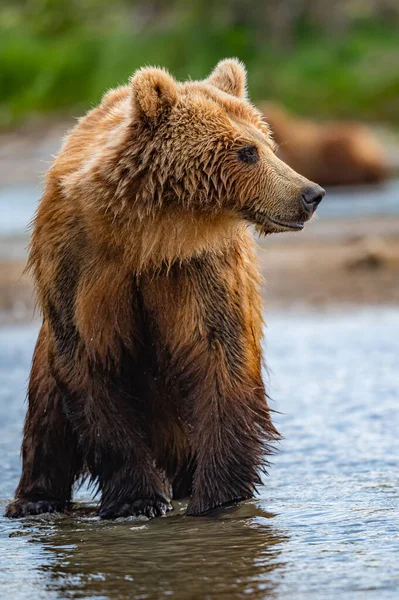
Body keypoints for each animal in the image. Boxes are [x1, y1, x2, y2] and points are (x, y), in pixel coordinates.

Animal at [5, 62, 324, 520]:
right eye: (247, 151)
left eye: (269, 143)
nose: (310, 193)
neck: (150, 235)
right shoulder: (79, 265)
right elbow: (90, 363)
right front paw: (137, 500)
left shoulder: (200, 269)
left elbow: (219, 357)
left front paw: (218, 496)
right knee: (46, 417)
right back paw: (35, 500)